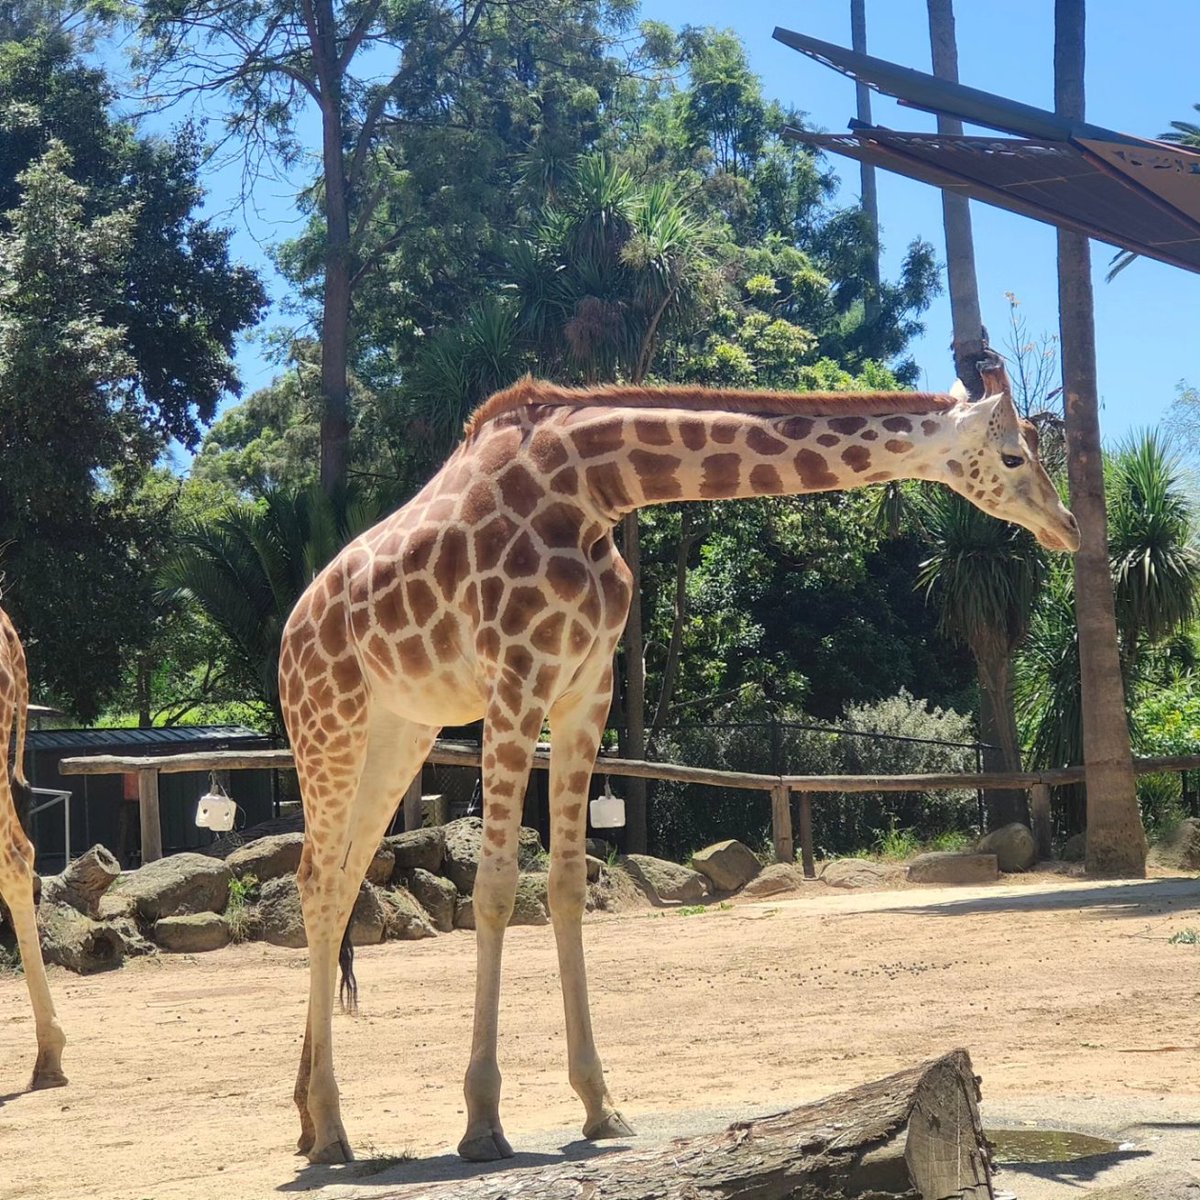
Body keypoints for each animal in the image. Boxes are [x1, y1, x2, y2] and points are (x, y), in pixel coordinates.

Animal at [280, 362, 1079, 1165]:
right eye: (1013, 455)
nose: (1068, 527)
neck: (594, 490)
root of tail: (290, 632)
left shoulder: (587, 688)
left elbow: (567, 884)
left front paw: (601, 1107)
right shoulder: (516, 679)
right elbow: (499, 888)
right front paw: (481, 1123)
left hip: (400, 732)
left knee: (341, 883)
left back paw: (311, 1121)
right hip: (329, 723)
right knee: (315, 883)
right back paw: (332, 1129)